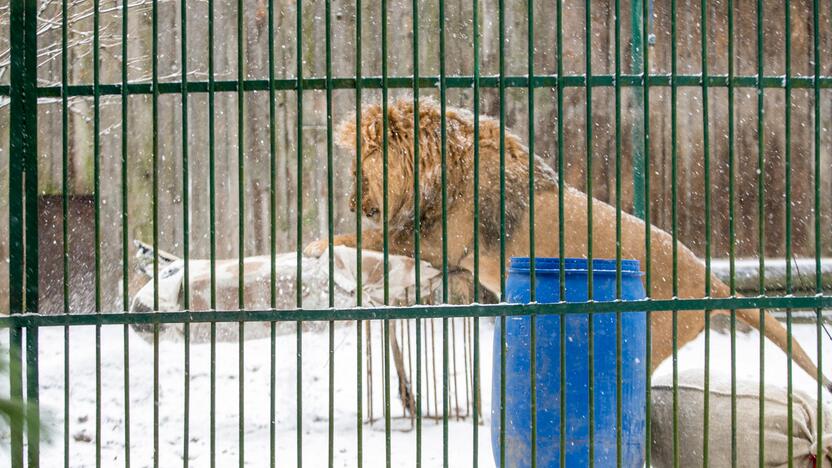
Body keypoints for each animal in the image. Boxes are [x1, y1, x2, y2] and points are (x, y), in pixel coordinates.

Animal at [308, 97, 832, 390]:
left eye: (358, 168)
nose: (353, 201)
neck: (439, 166)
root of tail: (713, 282)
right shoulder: (441, 254)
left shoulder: (438, 242)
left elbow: (366, 236)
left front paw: (315, 246)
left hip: (647, 336)